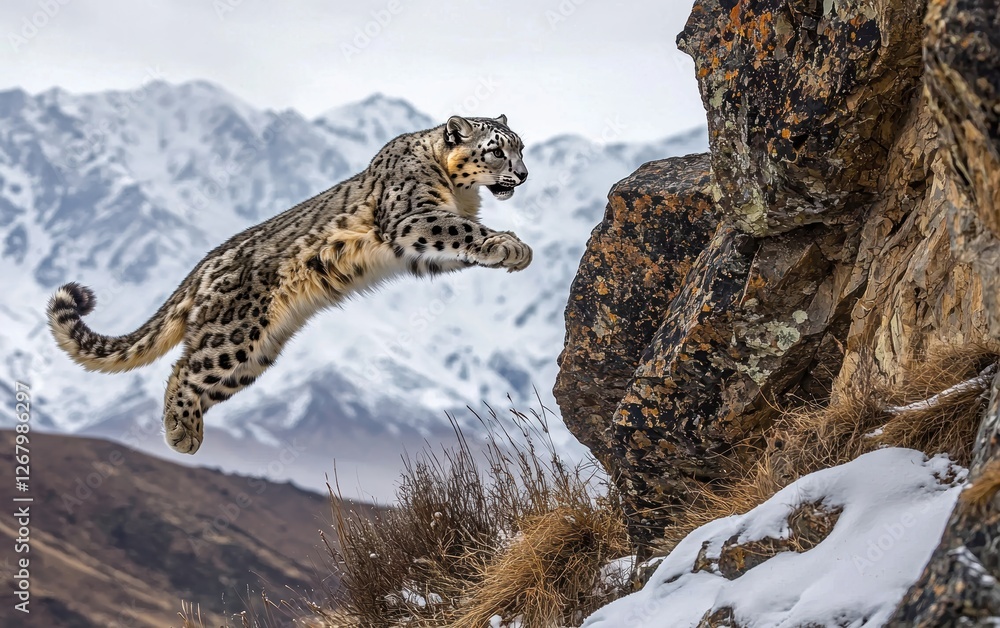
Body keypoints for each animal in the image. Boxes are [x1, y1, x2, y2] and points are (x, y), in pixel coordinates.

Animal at [48, 114, 531, 454]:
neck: (460, 194)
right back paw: (180, 433)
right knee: (184, 369)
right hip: (231, 335)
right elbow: (458, 230)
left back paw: (191, 431)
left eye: (521, 147)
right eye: (496, 150)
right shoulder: (412, 218)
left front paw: (507, 248)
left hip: (254, 356)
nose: (524, 175)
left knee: (200, 378)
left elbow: (458, 241)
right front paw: (511, 245)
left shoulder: (425, 246)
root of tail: (201, 268)